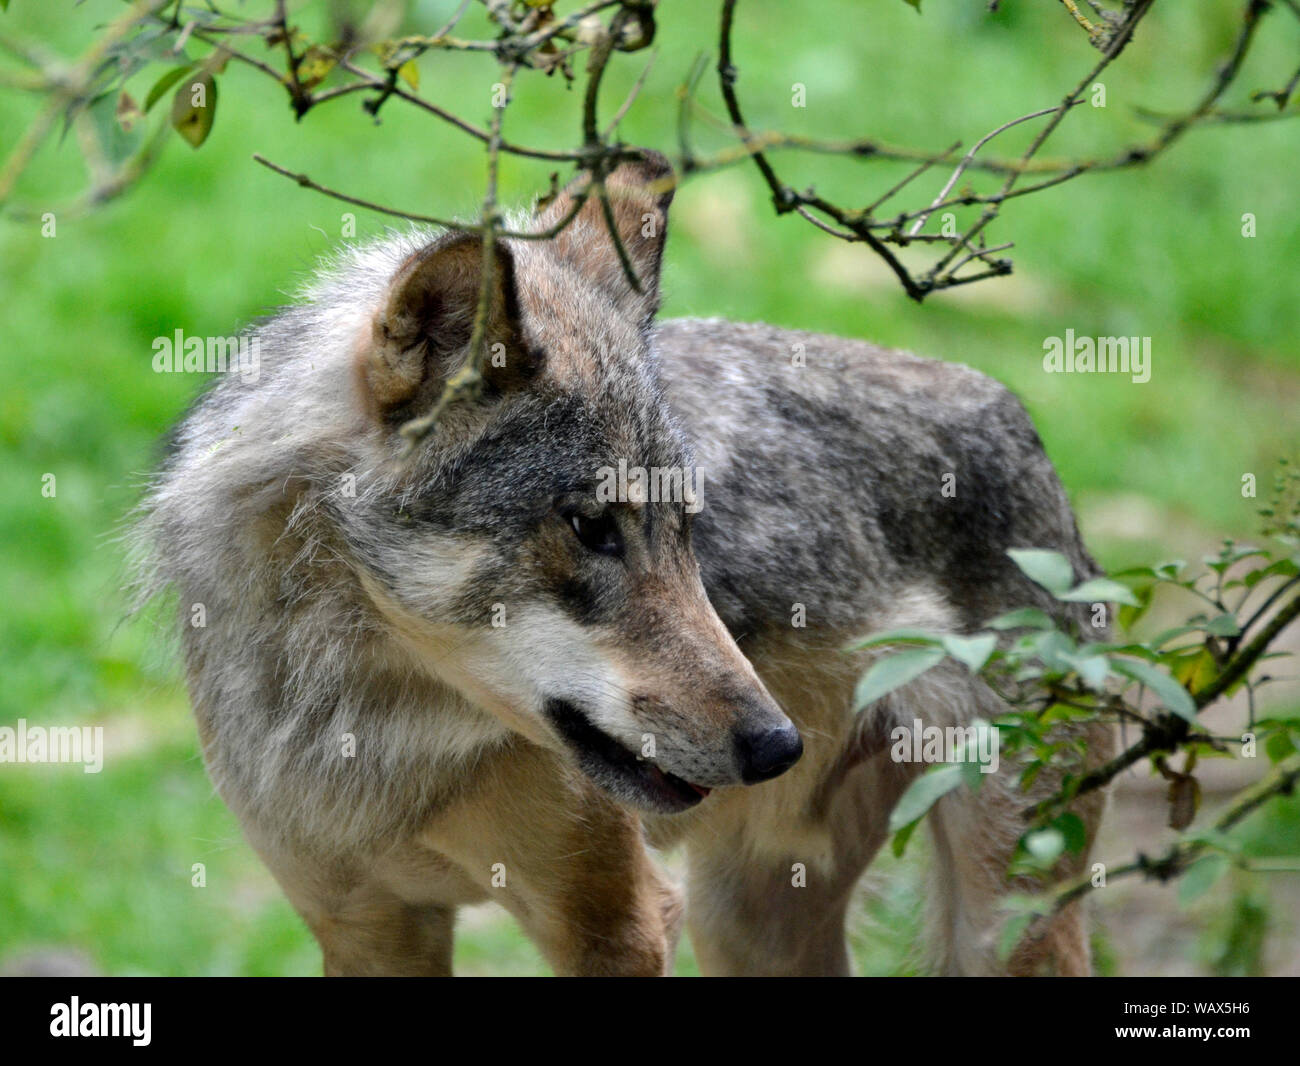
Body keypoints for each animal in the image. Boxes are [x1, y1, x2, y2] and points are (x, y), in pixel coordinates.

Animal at [129, 154, 1107, 977]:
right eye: (593, 527)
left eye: (686, 528)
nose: (776, 745)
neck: (372, 724)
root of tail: (1018, 416)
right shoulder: (365, 927)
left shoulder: (617, 922)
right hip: (747, 924)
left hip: (1000, 923)